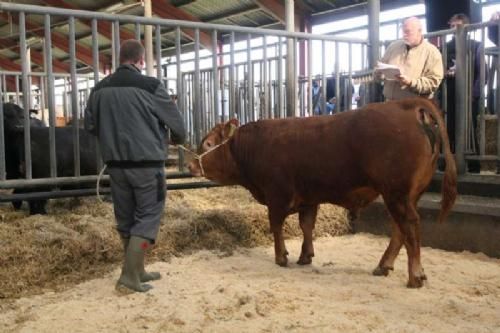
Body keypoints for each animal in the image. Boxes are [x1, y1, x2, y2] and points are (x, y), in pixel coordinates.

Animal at [188, 97, 458, 286]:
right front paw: (305, 256)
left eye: (208, 144)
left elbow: (276, 226)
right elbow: (307, 225)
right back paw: (384, 266)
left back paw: (415, 275)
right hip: (405, 195)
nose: (191, 165)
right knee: (399, 229)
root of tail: (405, 105)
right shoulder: (309, 197)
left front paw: (281, 257)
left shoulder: (277, 195)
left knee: (409, 227)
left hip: (396, 193)